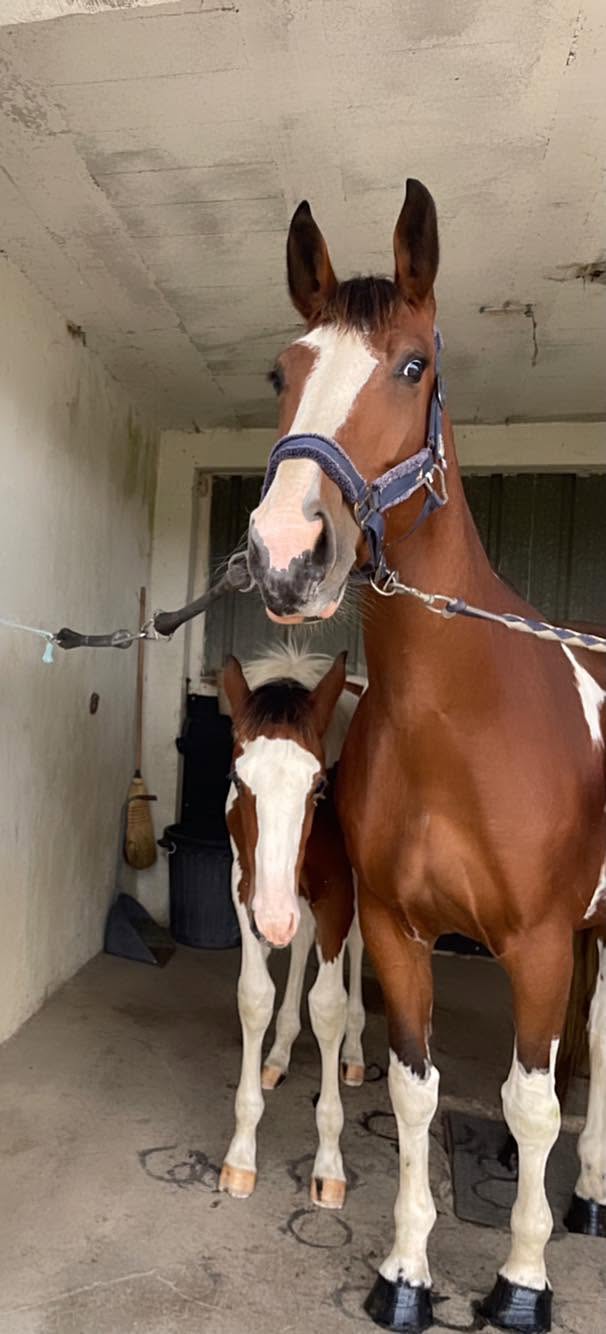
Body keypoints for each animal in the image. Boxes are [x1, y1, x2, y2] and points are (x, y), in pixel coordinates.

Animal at [219, 648, 366, 1210]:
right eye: (238, 780)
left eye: (318, 784)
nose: (274, 919)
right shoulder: (246, 887)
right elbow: (255, 996)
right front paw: (240, 1156)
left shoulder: (338, 898)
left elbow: (328, 1006)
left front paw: (329, 1164)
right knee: (300, 945)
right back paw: (279, 1055)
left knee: (356, 953)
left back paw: (354, 1054)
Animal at [244, 179, 606, 1332]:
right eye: (283, 372)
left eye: (413, 366)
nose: (283, 553)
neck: (463, 721)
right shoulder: (401, 931)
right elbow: (413, 1088)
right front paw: (404, 1271)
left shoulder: (536, 942)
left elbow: (531, 1104)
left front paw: (523, 1280)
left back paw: (588, 1197)